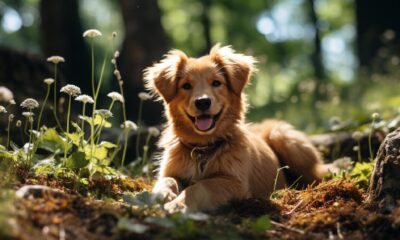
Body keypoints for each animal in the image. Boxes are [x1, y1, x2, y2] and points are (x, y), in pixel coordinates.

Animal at [145, 44, 326, 212]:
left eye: (216, 83)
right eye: (186, 86)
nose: (202, 102)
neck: (203, 148)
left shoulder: (235, 183)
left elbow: (199, 187)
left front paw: (176, 205)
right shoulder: (171, 172)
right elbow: (166, 180)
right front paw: (158, 196)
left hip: (283, 137)